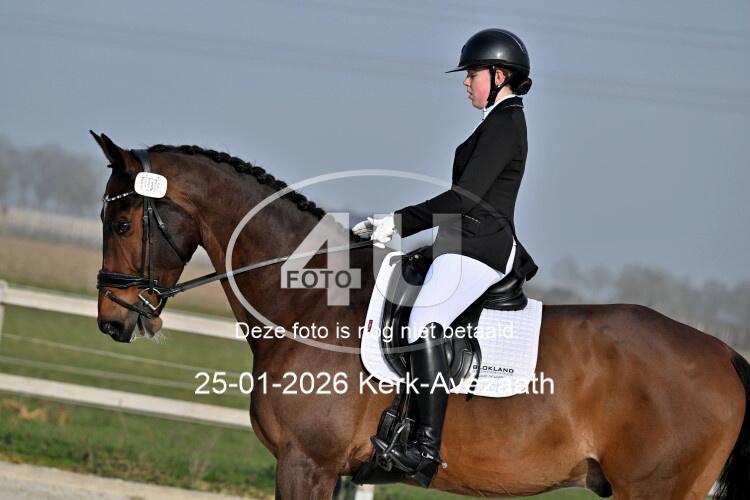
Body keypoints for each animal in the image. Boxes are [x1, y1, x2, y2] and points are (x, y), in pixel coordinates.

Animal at [91, 131, 750, 500]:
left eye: (121, 223)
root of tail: (725, 354)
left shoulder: (306, 463)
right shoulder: (326, 470)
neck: (306, 301)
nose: (112, 321)